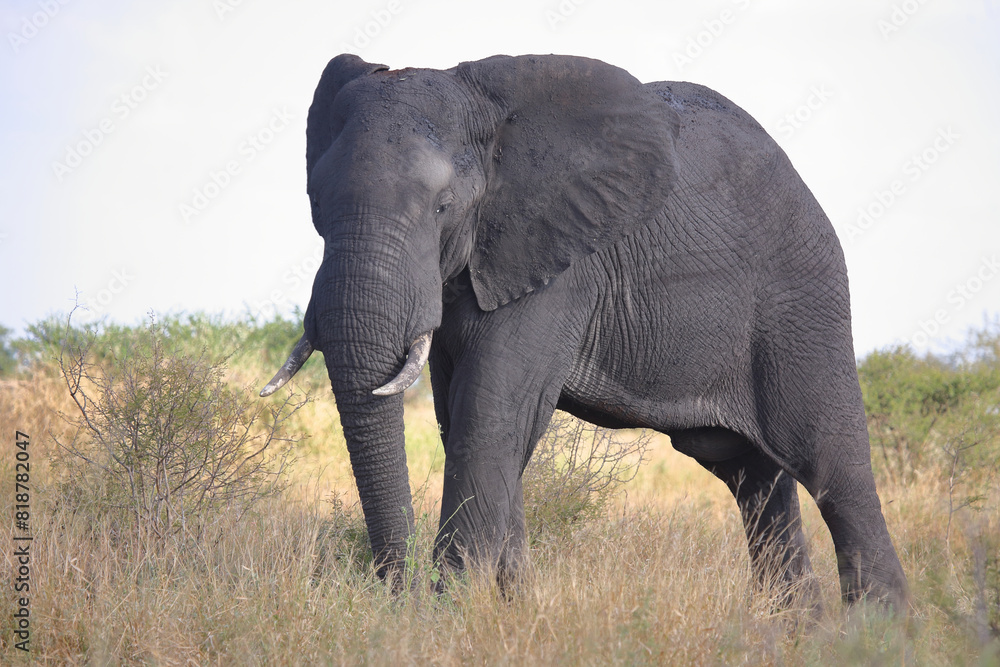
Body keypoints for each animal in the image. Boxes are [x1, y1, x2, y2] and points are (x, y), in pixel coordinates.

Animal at [261, 53, 908, 609]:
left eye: (444, 206)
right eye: (315, 202)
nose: (402, 596)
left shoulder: (560, 260)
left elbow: (488, 412)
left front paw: (447, 618)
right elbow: (462, 417)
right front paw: (508, 612)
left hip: (802, 298)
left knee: (832, 465)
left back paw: (876, 634)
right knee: (757, 481)